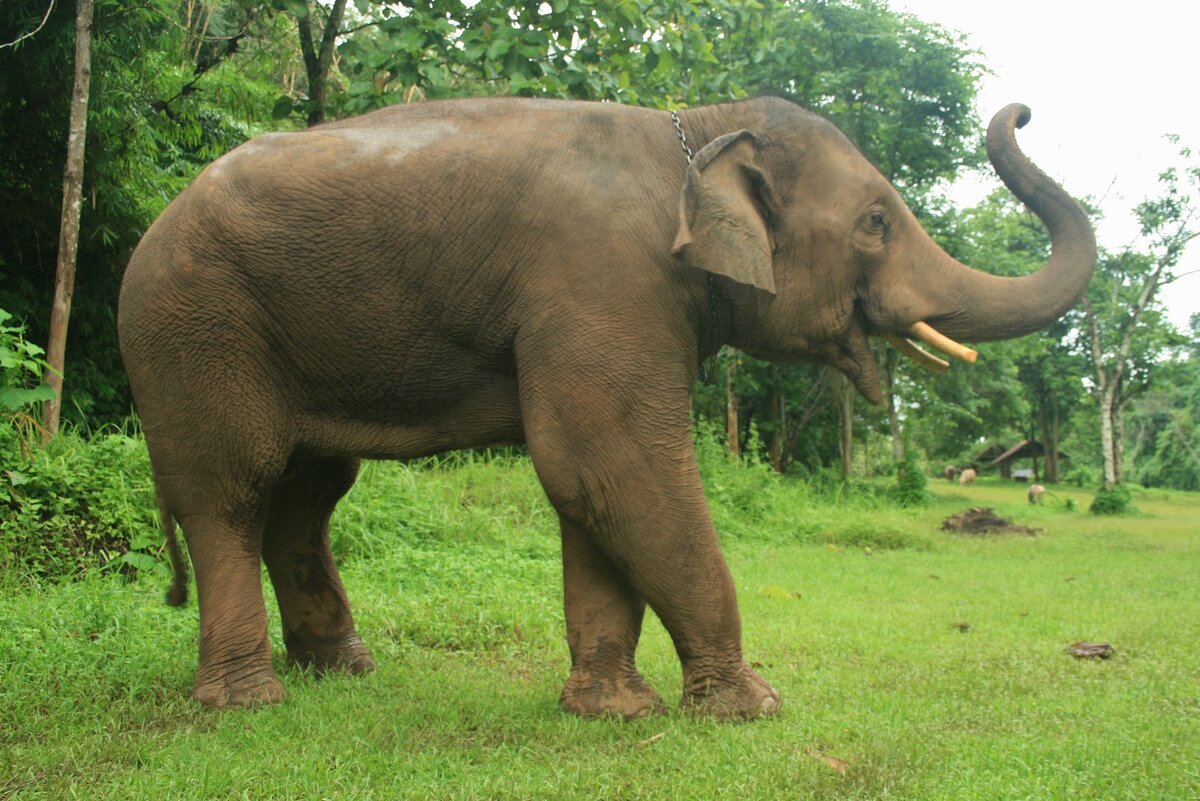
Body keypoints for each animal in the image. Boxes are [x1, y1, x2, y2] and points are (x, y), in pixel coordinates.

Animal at [119, 94, 1099, 719]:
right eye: (876, 223)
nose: (1021, 112)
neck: (699, 127)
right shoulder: (605, 279)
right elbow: (611, 464)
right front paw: (752, 707)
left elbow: (589, 486)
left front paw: (612, 711)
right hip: (195, 329)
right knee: (233, 492)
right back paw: (249, 701)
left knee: (309, 493)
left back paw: (346, 673)